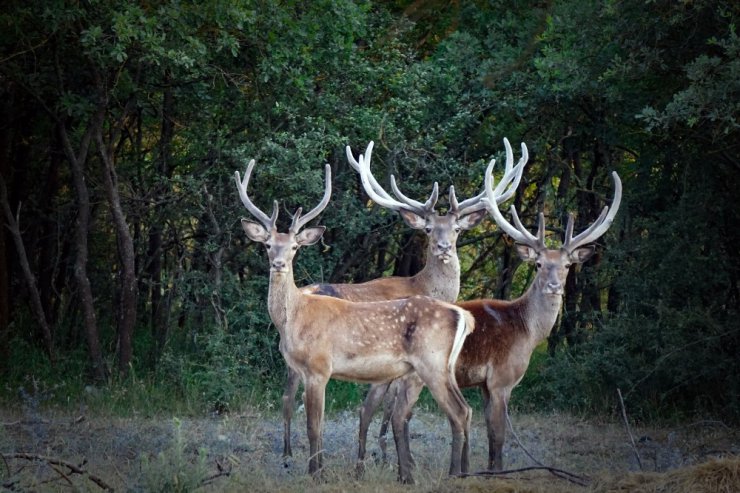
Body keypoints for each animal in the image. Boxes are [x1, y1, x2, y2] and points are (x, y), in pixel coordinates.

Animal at [238, 158, 480, 480]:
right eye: (267, 245)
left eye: (294, 247)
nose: (278, 264)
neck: (295, 320)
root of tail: (462, 313)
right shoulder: (304, 369)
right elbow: (314, 422)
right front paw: (317, 469)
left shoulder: (319, 367)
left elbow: (314, 426)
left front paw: (317, 473)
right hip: (442, 367)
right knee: (464, 410)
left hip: (431, 363)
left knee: (457, 411)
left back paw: (454, 473)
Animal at [274, 138, 524, 462]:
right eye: (428, 229)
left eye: (456, 229)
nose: (443, 247)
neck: (422, 285)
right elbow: (390, 408)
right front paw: (386, 453)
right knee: (292, 396)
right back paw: (290, 453)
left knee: (286, 396)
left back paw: (288, 451)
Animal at [358, 160, 620, 470]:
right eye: (539, 263)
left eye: (567, 264)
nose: (554, 286)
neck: (527, 330)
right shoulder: (501, 380)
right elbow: (497, 435)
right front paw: (494, 471)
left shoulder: (484, 385)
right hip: (417, 373)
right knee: (396, 414)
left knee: (370, 410)